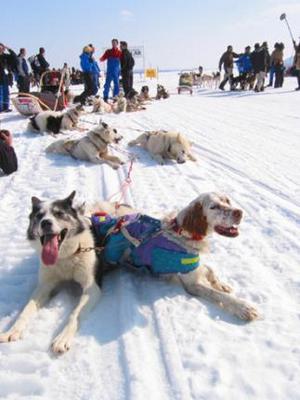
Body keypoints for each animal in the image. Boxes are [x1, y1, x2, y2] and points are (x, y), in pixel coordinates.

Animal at [0, 191, 132, 354]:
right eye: (39, 216)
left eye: (59, 214)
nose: (45, 222)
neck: (65, 257)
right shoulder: (44, 286)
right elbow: (27, 309)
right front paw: (13, 330)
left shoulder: (91, 288)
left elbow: (75, 314)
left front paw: (62, 338)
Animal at [94, 192, 258, 320]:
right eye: (213, 207)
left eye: (227, 200)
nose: (239, 212)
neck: (184, 234)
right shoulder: (191, 283)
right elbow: (217, 294)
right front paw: (243, 308)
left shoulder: (194, 265)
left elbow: (210, 270)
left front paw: (221, 284)